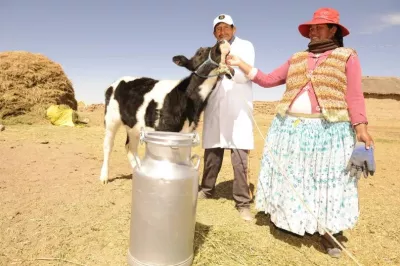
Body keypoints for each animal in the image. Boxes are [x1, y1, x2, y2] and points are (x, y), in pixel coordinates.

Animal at [99, 40, 234, 184]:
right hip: (111, 120)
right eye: (200, 52)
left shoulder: (186, 132)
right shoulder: (164, 130)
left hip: (133, 125)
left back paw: (137, 168)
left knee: (130, 147)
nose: (222, 42)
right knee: (108, 146)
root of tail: (118, 81)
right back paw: (104, 177)